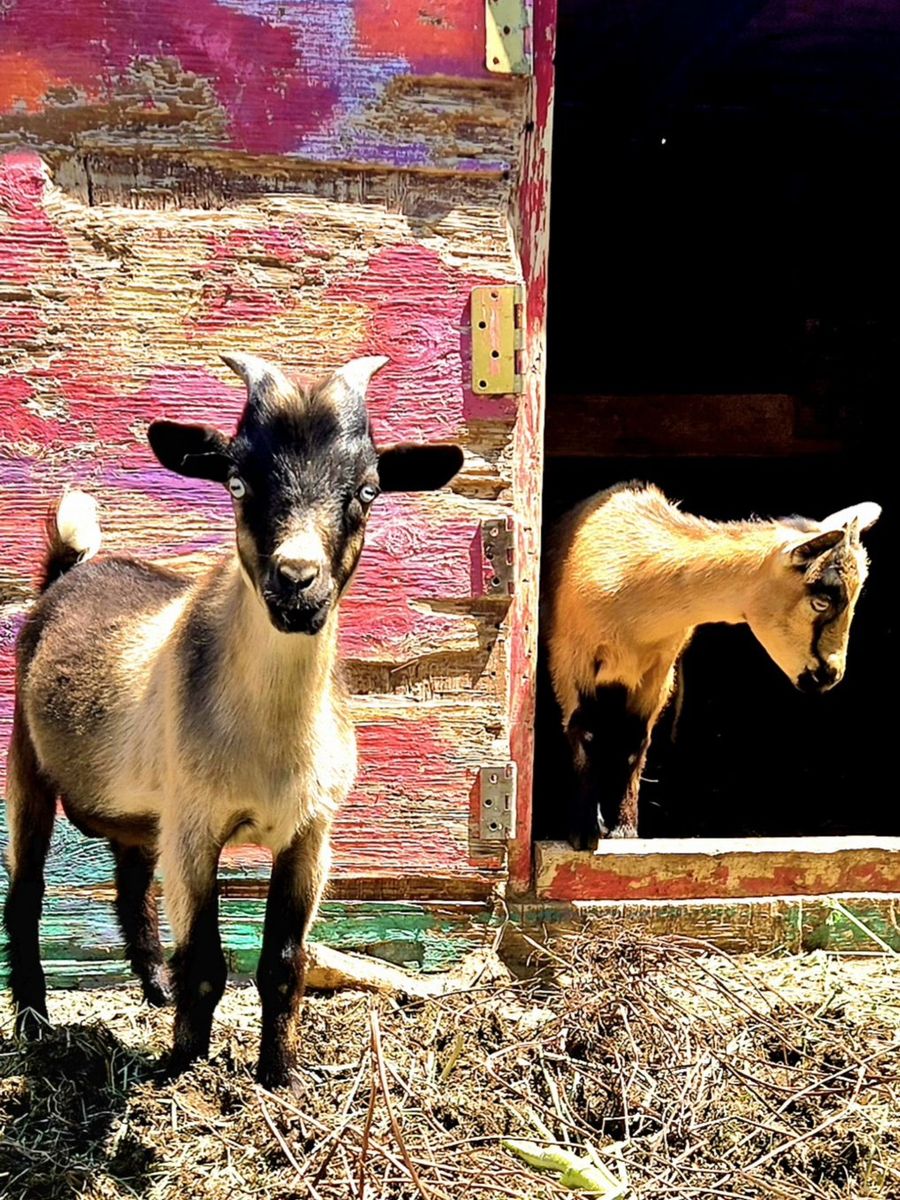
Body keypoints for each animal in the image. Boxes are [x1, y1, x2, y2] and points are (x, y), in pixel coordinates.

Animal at [3, 351, 463, 1088]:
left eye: (366, 490)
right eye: (239, 481)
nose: (297, 580)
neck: (270, 741)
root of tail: (67, 573)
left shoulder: (310, 834)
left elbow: (283, 965)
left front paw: (281, 1076)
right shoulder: (196, 827)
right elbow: (206, 964)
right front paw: (182, 1071)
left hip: (140, 809)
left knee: (131, 885)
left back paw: (151, 987)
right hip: (26, 760)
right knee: (25, 893)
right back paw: (35, 1024)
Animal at [542, 481, 881, 848]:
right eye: (820, 602)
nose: (831, 675)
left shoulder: (659, 671)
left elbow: (636, 741)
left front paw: (623, 831)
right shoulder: (572, 658)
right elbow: (584, 731)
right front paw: (584, 832)